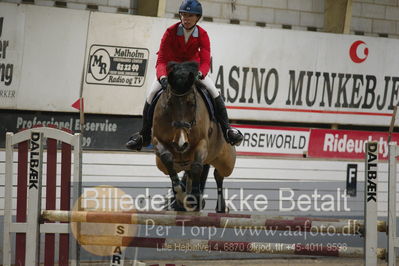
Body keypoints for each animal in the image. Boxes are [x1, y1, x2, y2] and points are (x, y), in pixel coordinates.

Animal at [152, 61, 236, 213]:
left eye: (191, 103)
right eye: (170, 103)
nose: (181, 144)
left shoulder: (202, 143)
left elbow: (197, 166)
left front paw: (195, 198)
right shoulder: (157, 141)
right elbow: (167, 159)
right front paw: (180, 195)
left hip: (227, 161)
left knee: (218, 174)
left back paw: (220, 207)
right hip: (167, 165)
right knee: (186, 172)